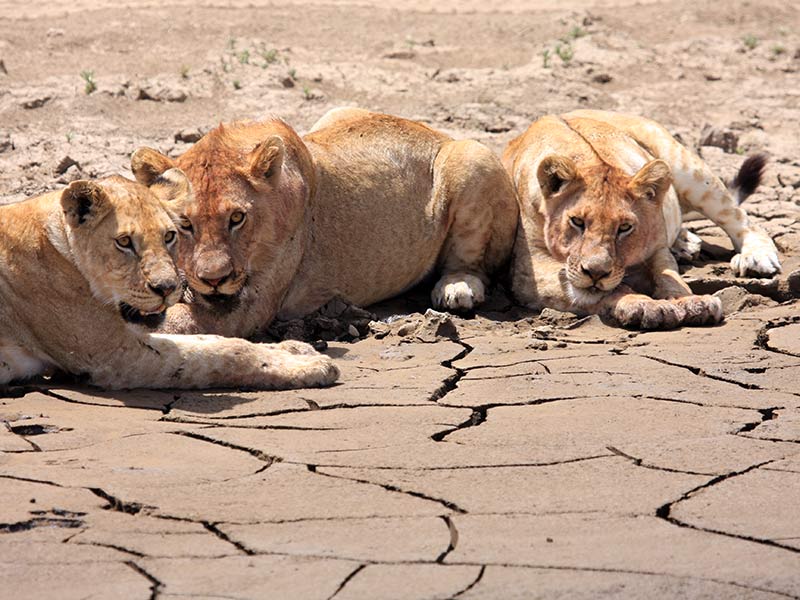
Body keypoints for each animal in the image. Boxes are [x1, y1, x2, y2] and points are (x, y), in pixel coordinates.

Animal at [0, 172, 338, 390]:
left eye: (170, 236)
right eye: (124, 241)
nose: (167, 288)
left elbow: (211, 340)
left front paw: (295, 348)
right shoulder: (114, 357)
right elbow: (224, 355)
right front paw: (309, 367)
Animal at [131, 108, 520, 338]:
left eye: (237, 218)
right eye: (184, 223)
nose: (214, 280)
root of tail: (440, 134)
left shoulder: (248, 307)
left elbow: (178, 320)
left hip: (473, 158)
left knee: (474, 264)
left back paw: (457, 288)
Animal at [504, 110, 780, 330]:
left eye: (625, 228)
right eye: (577, 222)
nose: (595, 272)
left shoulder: (656, 249)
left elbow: (669, 276)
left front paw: (692, 302)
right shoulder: (530, 273)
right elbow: (614, 288)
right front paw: (646, 306)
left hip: (689, 170)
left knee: (744, 221)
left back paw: (756, 258)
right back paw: (686, 243)